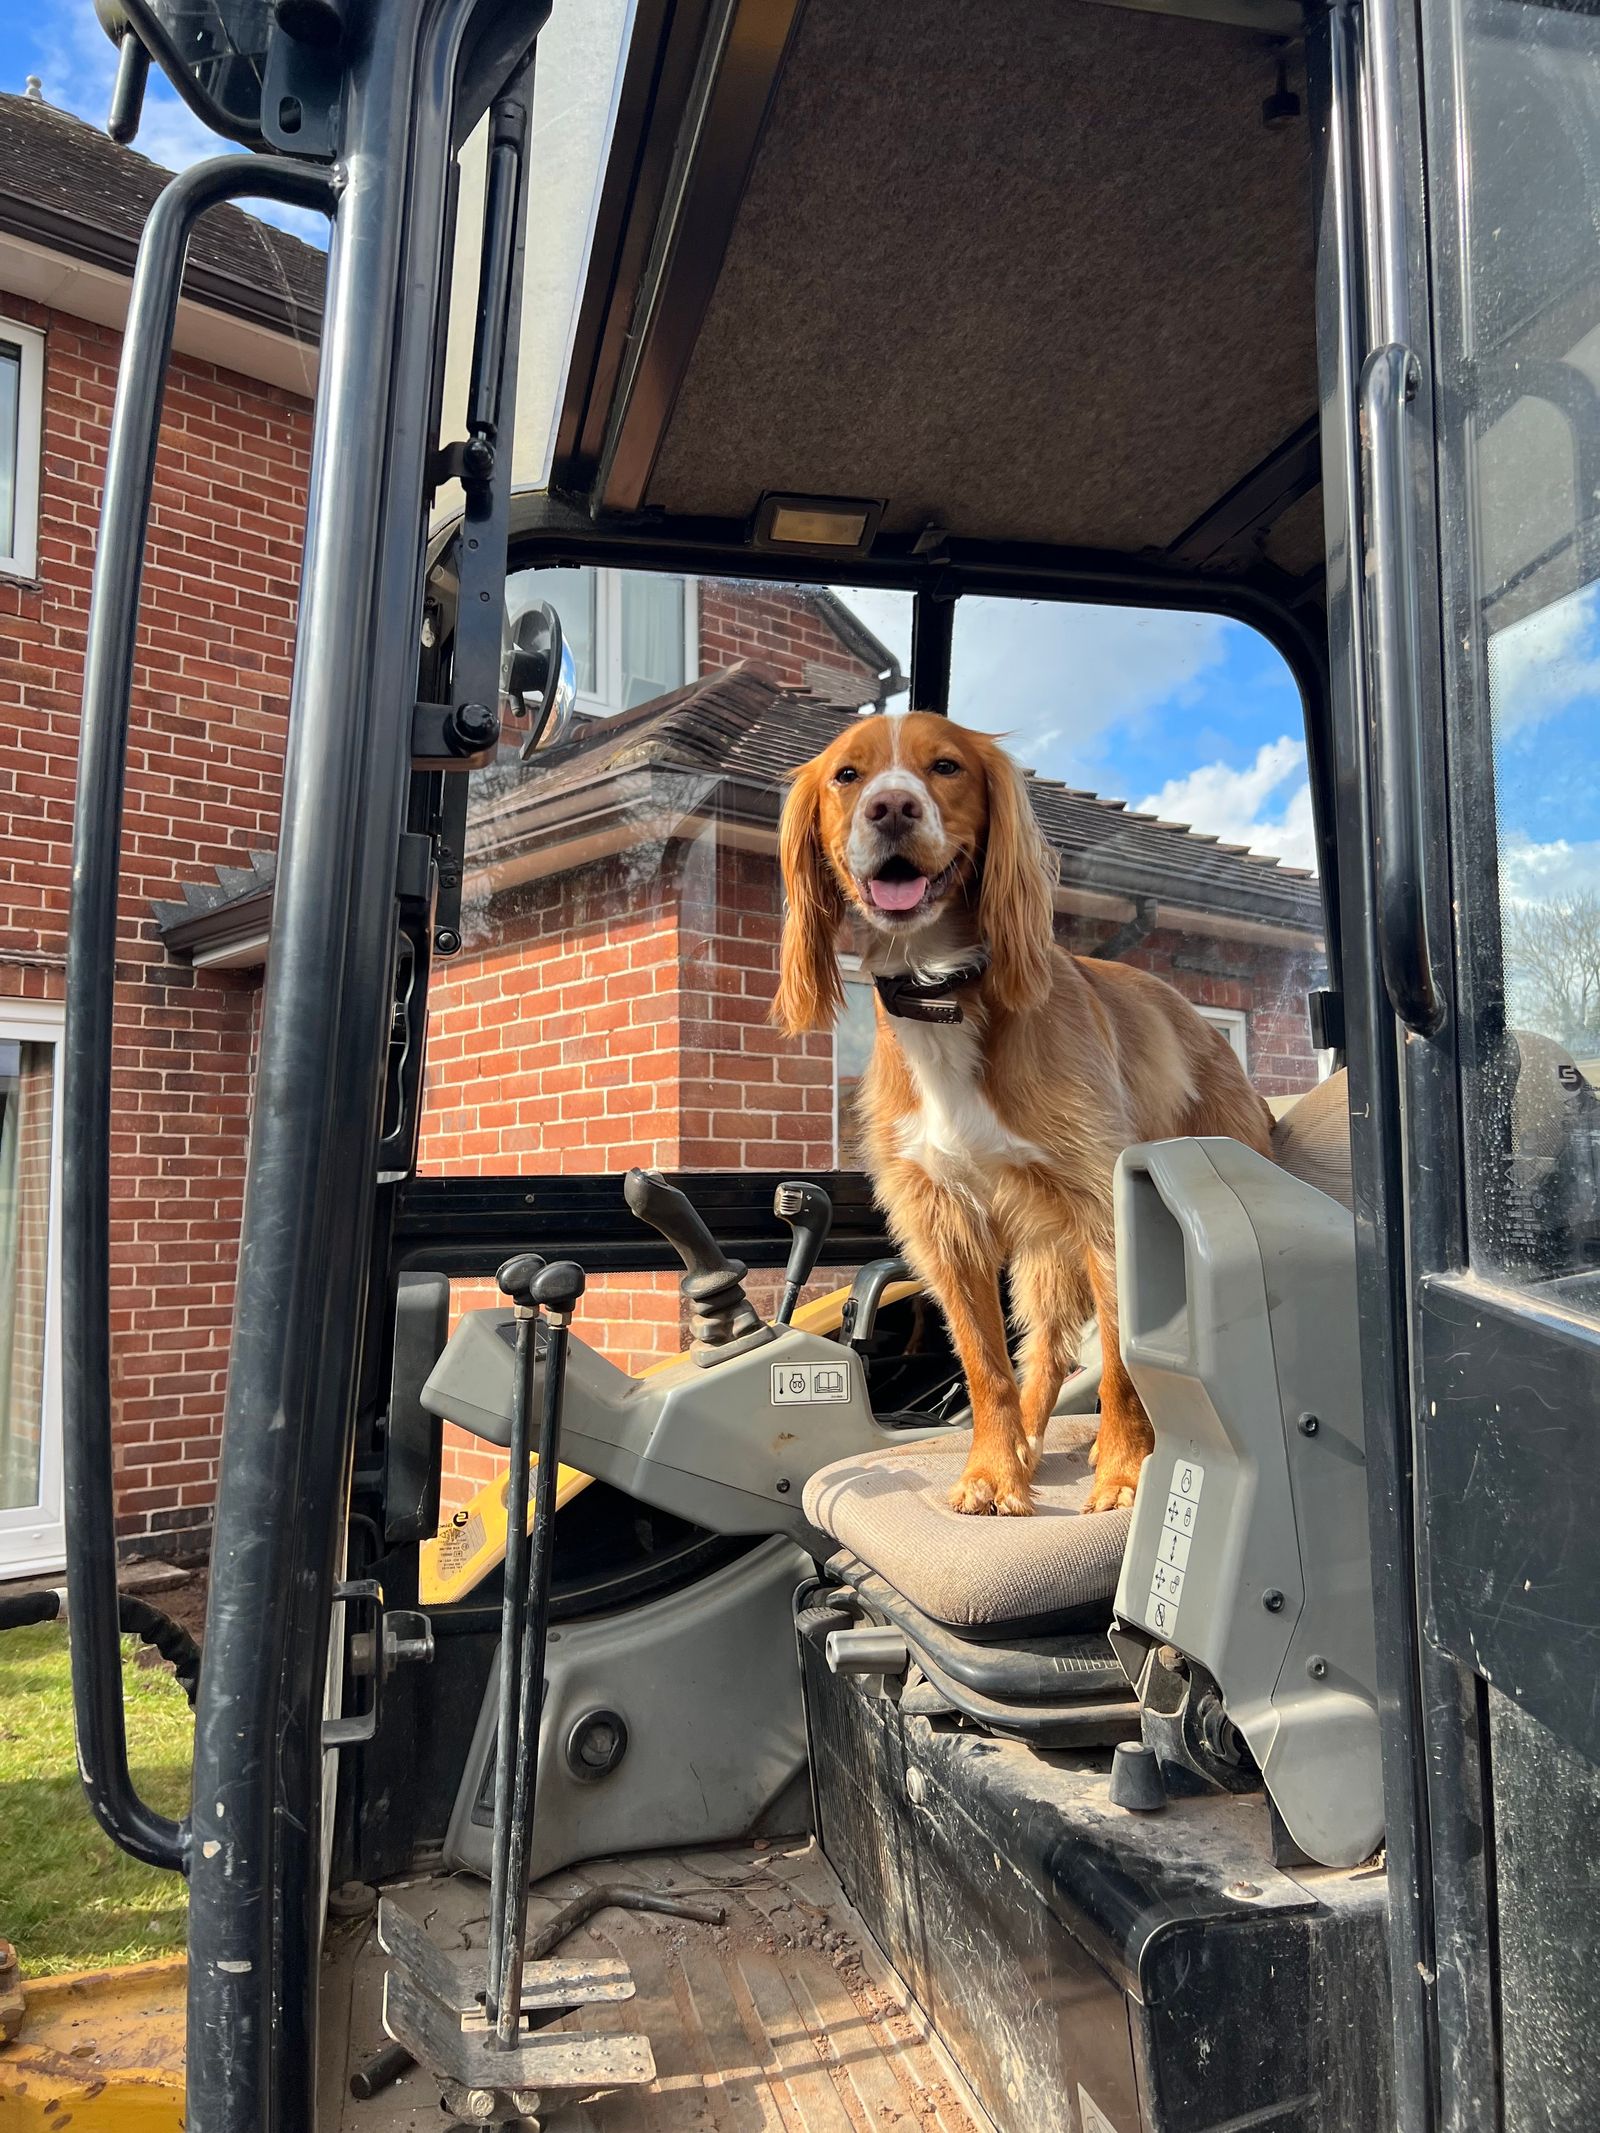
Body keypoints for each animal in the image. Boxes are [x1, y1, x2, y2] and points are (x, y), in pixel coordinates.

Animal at [776, 712, 1280, 1518]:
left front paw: (1123, 1474)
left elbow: (1123, 1364)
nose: (892, 808)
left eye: (946, 766)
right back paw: (1028, 1445)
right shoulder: (945, 1223)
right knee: (1043, 1351)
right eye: (847, 775)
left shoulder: (1106, 1209)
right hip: (1043, 1256)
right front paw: (992, 1470)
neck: (945, 993)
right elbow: (988, 1364)